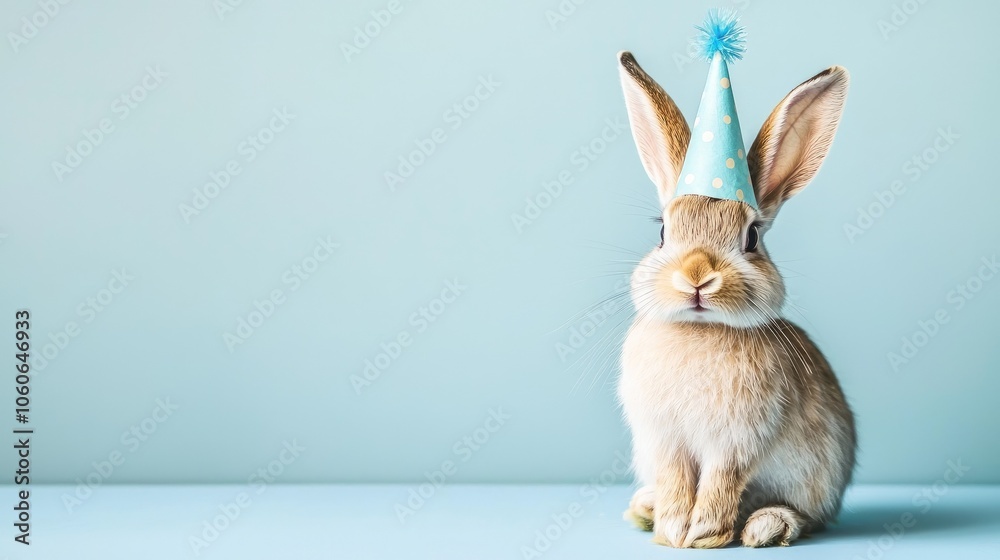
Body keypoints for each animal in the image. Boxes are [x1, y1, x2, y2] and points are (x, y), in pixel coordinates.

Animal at [615, 50, 856, 548]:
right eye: (662, 232)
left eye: (752, 238)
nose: (696, 276)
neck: (699, 331)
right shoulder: (666, 441)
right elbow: (676, 480)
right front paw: (671, 530)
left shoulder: (734, 444)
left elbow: (721, 483)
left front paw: (703, 535)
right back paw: (646, 507)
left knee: (805, 517)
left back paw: (766, 526)